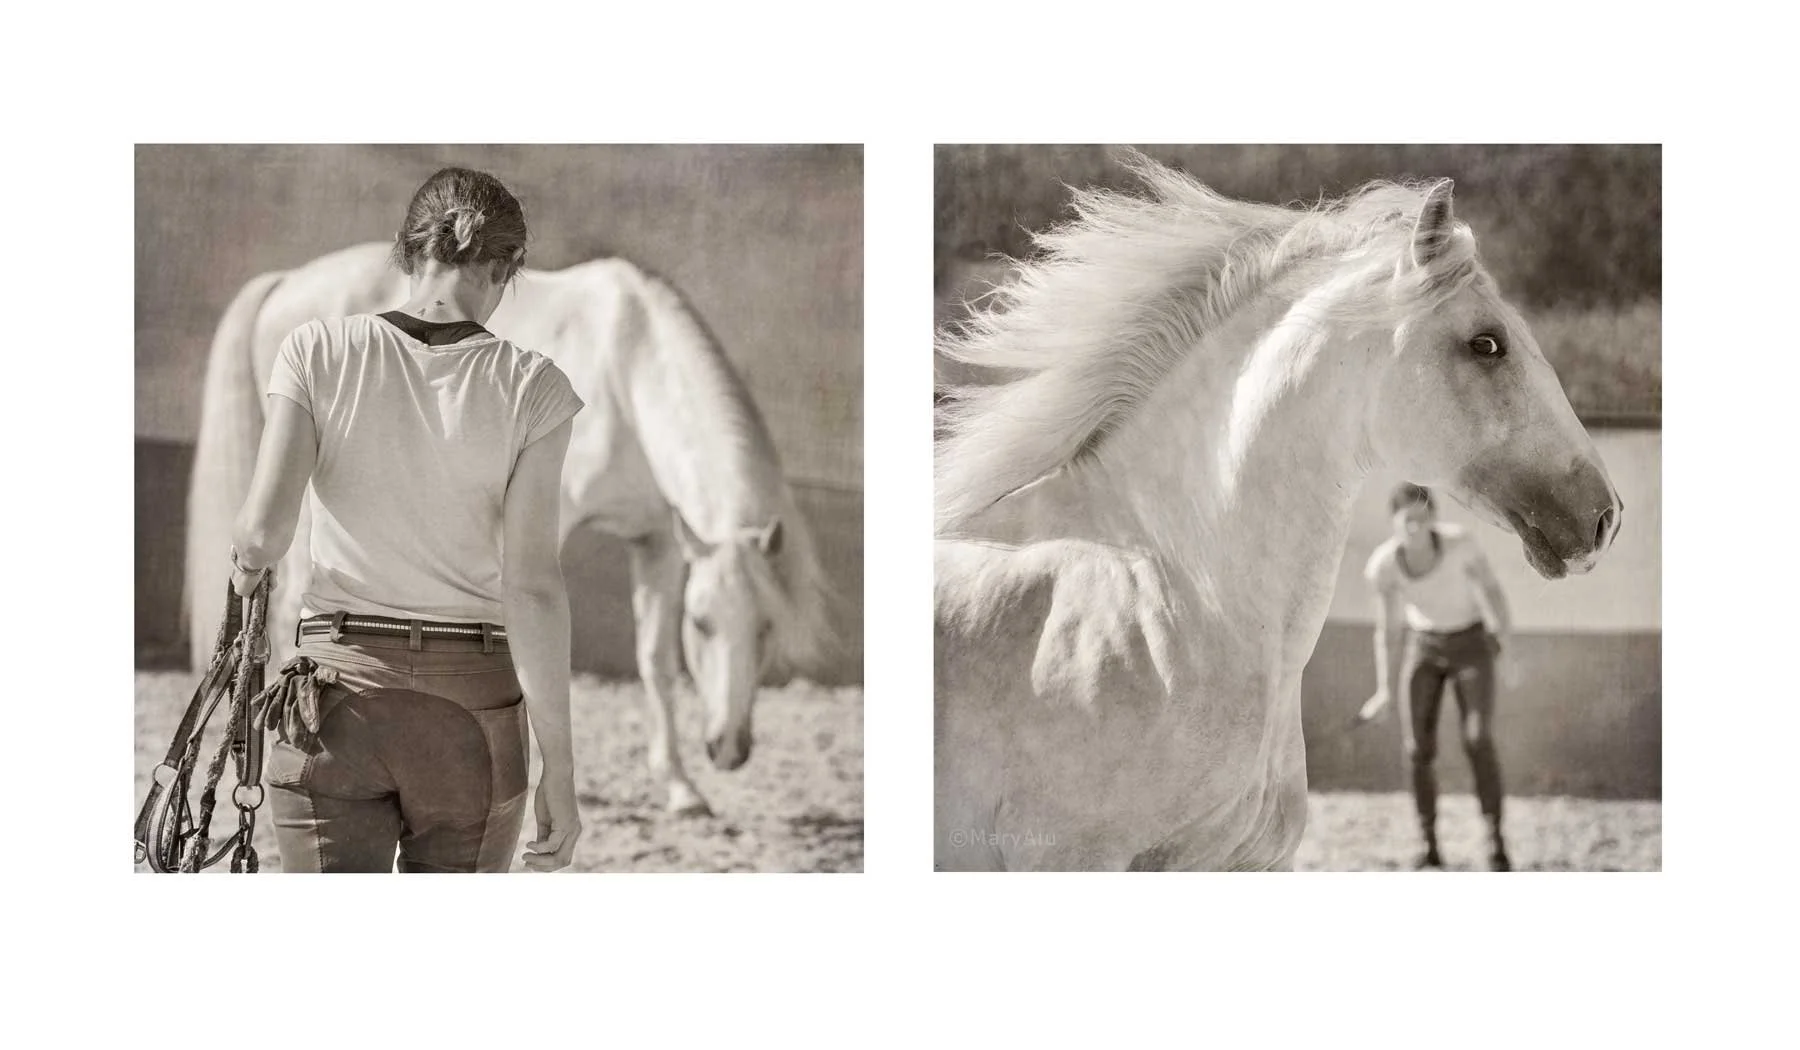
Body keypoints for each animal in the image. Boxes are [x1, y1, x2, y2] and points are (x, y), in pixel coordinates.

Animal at [186, 242, 837, 817]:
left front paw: (681, 789)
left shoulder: (658, 539)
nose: (728, 750)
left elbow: (654, 660)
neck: (628, 368)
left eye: (768, 627)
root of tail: (286, 281)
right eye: (702, 625)